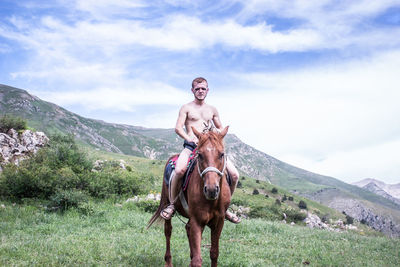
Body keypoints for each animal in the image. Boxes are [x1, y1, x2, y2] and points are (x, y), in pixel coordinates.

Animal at [148, 126, 231, 267]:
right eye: (200, 155)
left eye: (221, 154)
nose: (211, 190)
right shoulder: (197, 221)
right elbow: (197, 260)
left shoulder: (219, 222)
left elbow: (214, 253)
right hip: (167, 205)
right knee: (168, 231)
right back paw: (168, 261)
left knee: (187, 228)